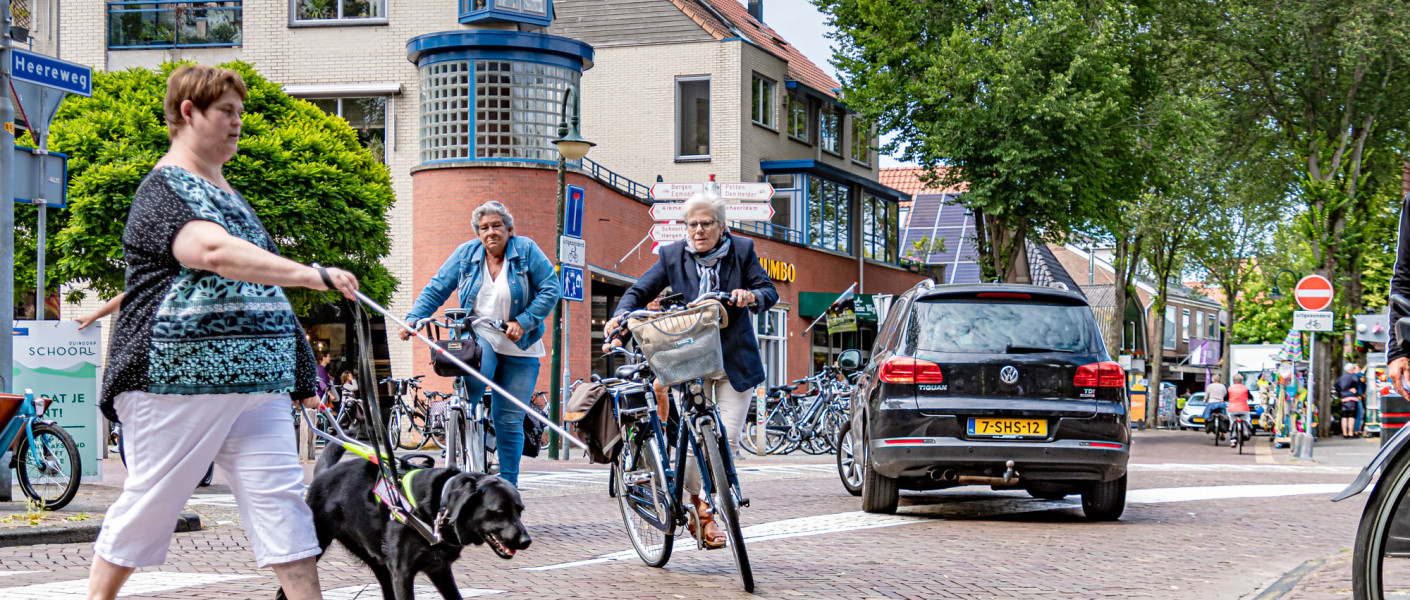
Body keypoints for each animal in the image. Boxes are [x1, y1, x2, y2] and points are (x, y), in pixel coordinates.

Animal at [277, 439, 530, 600]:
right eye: (499, 512)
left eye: (520, 510)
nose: (526, 541)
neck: (438, 506)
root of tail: (321, 474)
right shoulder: (403, 573)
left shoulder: (439, 569)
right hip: (316, 547)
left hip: (379, 563)